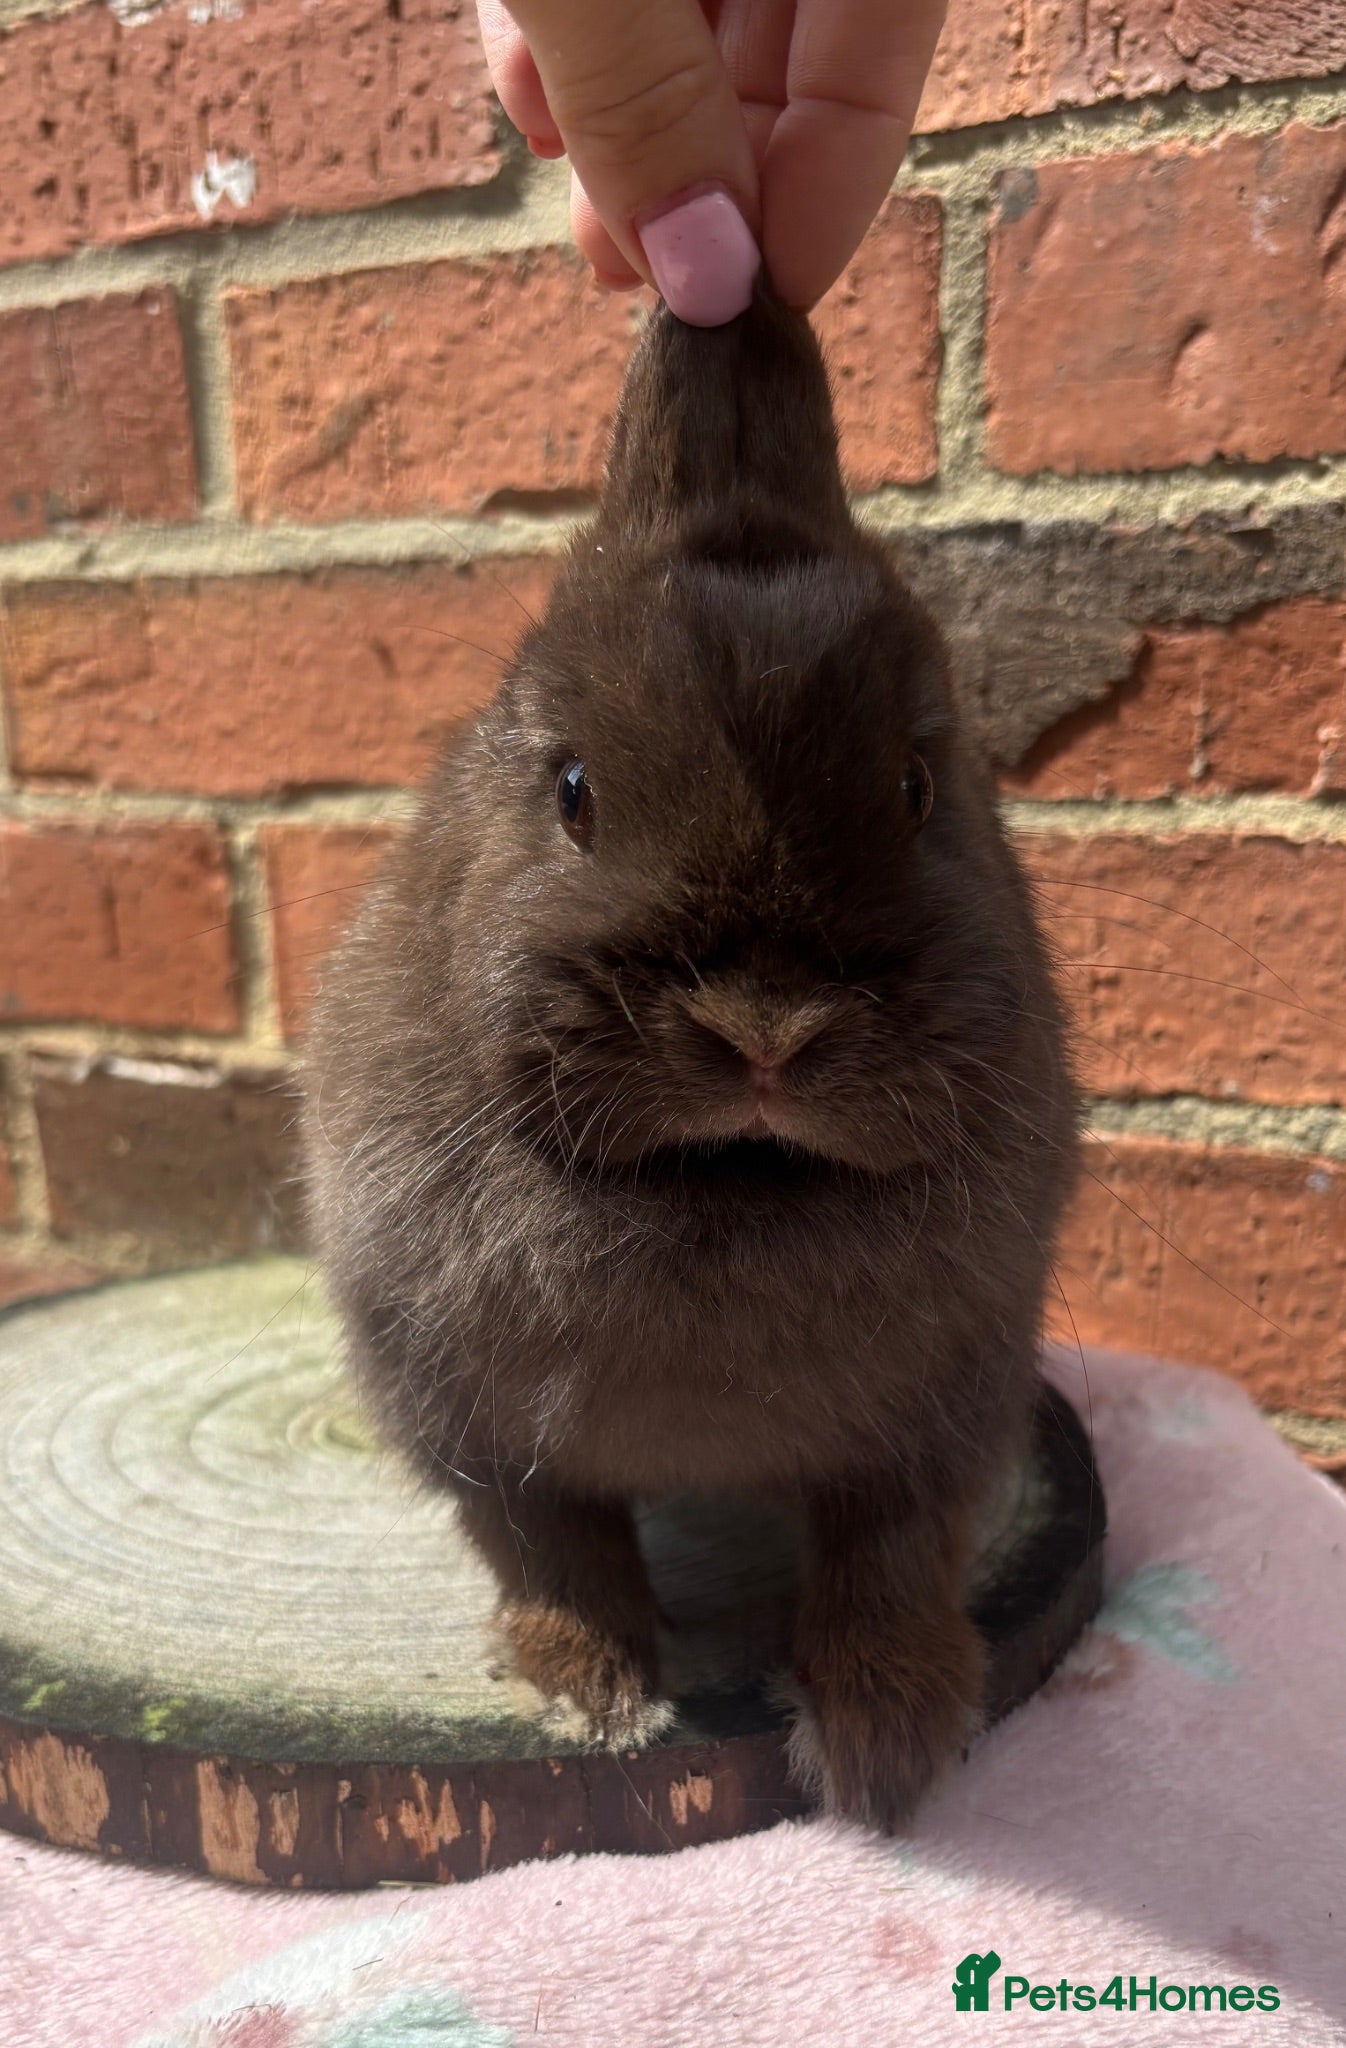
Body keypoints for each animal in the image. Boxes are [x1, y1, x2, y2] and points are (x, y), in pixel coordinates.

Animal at [303, 284, 1078, 1831]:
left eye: (918, 784)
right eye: (572, 791)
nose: (762, 1029)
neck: (729, 1177)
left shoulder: (938, 1420)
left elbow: (885, 1558)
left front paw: (884, 1742)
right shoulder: (484, 1430)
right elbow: (555, 1547)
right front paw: (584, 1691)